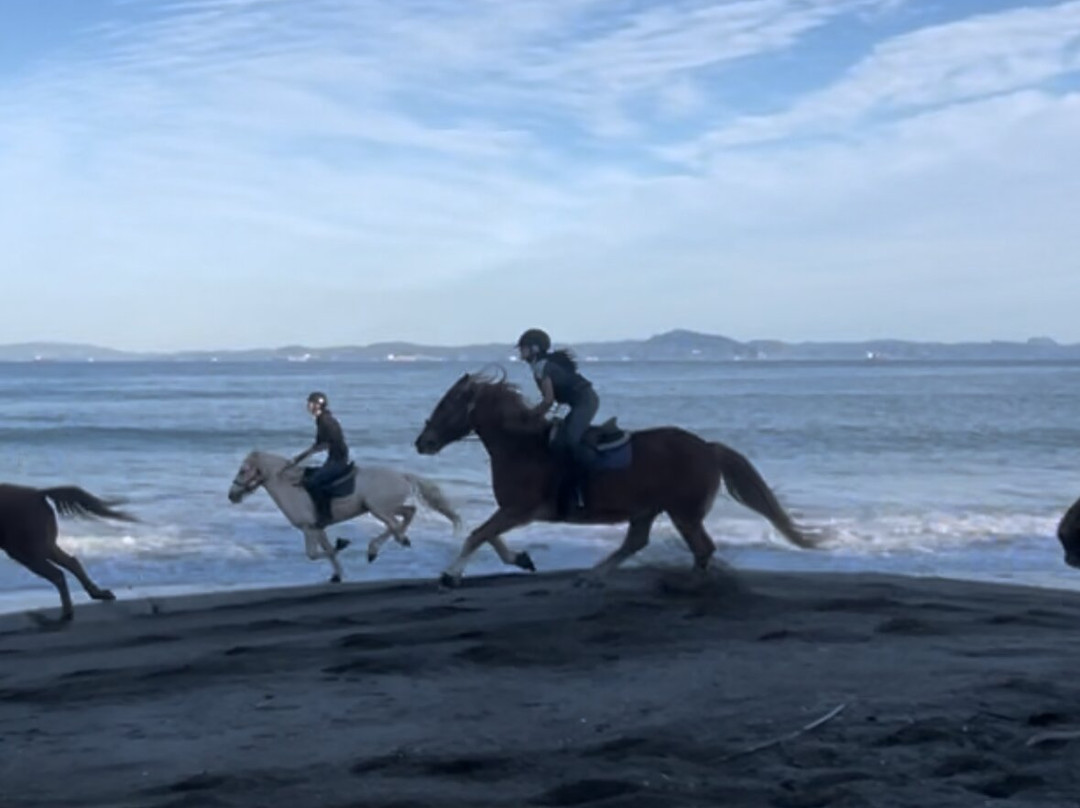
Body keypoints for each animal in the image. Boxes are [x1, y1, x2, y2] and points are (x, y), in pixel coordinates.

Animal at [0, 483, 136, 622]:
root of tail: (38, 494)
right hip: (44, 546)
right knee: (72, 562)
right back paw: (97, 594)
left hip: (26, 551)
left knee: (58, 574)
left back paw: (67, 612)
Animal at [227, 450, 462, 582]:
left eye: (242, 471)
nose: (232, 496)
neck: (290, 485)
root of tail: (403, 475)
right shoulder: (316, 528)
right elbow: (325, 553)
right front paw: (338, 574)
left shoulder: (309, 528)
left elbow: (315, 554)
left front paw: (343, 545)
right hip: (385, 507)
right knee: (408, 513)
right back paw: (392, 543)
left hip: (378, 508)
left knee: (394, 523)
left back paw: (382, 546)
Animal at [414, 370, 820, 587]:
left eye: (448, 404)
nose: (423, 442)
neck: (520, 444)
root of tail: (708, 447)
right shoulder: (515, 510)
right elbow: (487, 534)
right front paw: (521, 558)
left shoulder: (521, 508)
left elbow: (479, 534)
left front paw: (449, 575)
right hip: (647, 509)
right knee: (637, 542)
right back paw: (592, 576)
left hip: (683, 513)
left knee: (701, 548)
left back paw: (687, 584)